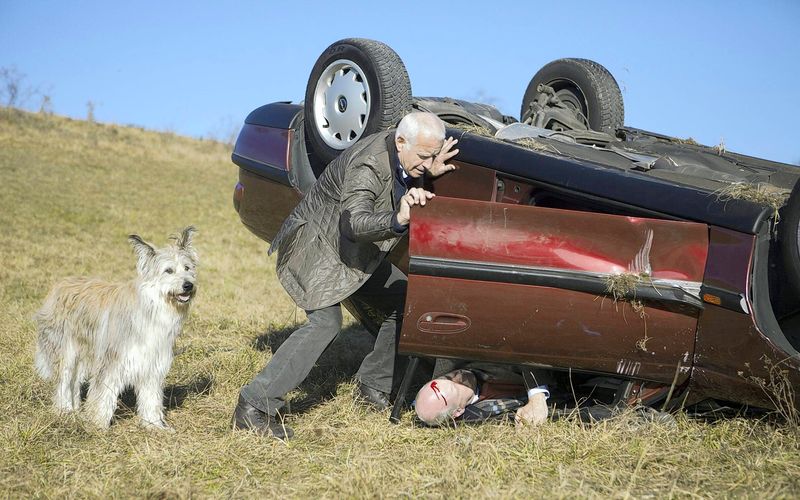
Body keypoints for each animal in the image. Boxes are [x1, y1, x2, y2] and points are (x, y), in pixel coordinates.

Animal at [34, 227, 198, 430]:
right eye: (168, 270)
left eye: (187, 268)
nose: (188, 285)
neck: (152, 307)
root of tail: (60, 284)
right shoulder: (111, 361)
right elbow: (102, 396)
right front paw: (97, 426)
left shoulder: (151, 364)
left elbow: (151, 398)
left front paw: (153, 425)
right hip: (65, 350)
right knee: (63, 382)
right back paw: (65, 411)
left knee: (74, 382)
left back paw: (75, 410)